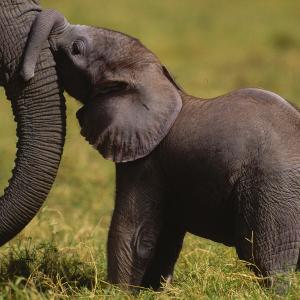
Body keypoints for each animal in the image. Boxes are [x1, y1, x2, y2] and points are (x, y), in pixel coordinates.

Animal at [21, 8, 300, 290]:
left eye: (76, 48)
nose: (26, 73)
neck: (155, 79)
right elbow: (166, 236)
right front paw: (154, 290)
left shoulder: (147, 161)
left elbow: (132, 232)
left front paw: (120, 292)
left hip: (273, 189)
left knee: (266, 258)